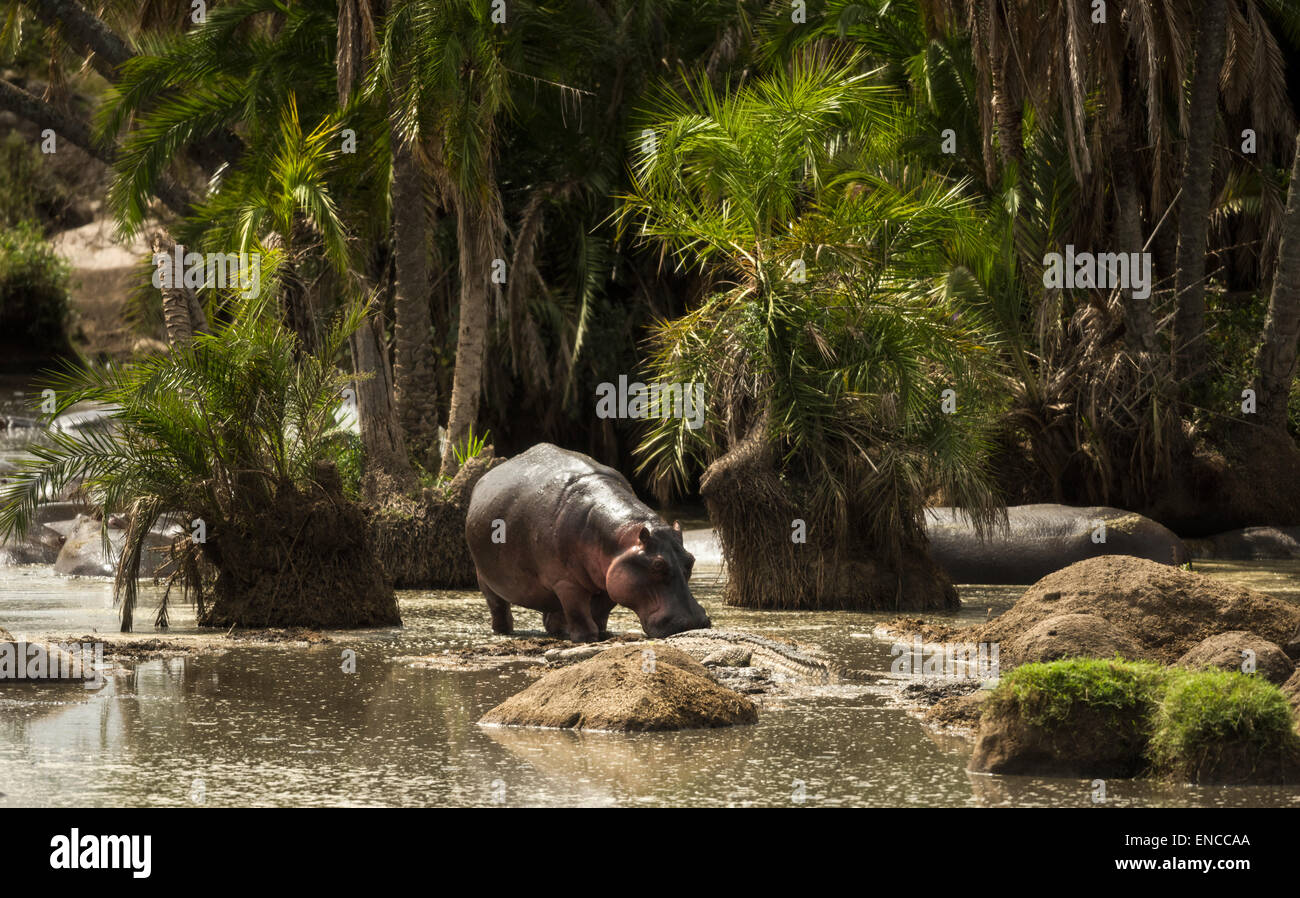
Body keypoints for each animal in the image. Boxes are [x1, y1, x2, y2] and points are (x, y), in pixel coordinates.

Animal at [465, 441, 712, 639]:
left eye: (690, 560)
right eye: (657, 565)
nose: (694, 623)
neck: (622, 538)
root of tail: (484, 478)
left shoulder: (610, 576)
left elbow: (601, 610)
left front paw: (602, 632)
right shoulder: (566, 582)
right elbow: (578, 610)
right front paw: (586, 637)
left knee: (552, 610)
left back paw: (557, 630)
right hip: (483, 577)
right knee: (498, 605)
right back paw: (503, 631)